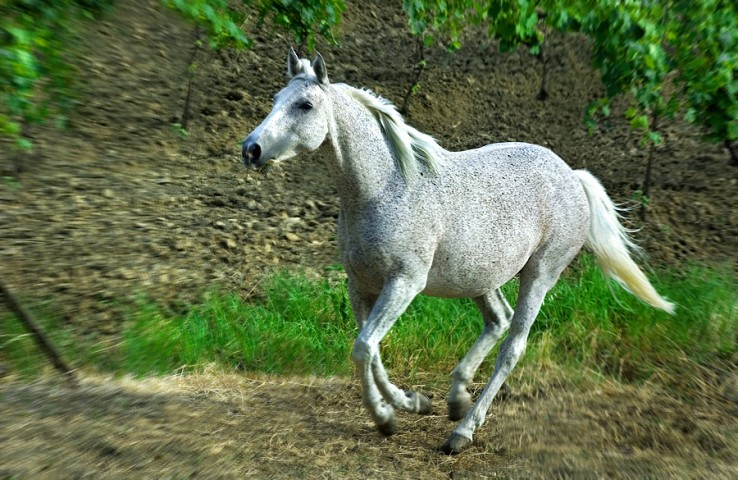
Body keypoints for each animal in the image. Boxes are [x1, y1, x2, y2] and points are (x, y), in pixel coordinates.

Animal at [242, 49, 672, 454]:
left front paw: (391, 412)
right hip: (481, 277)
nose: (251, 149)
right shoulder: (361, 285)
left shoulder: (404, 282)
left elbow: (364, 347)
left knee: (513, 345)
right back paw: (456, 399)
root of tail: (572, 176)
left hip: (539, 275)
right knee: (498, 320)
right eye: (276, 98)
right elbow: (369, 349)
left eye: (305, 105)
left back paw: (462, 432)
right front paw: (406, 406)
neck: (382, 189)